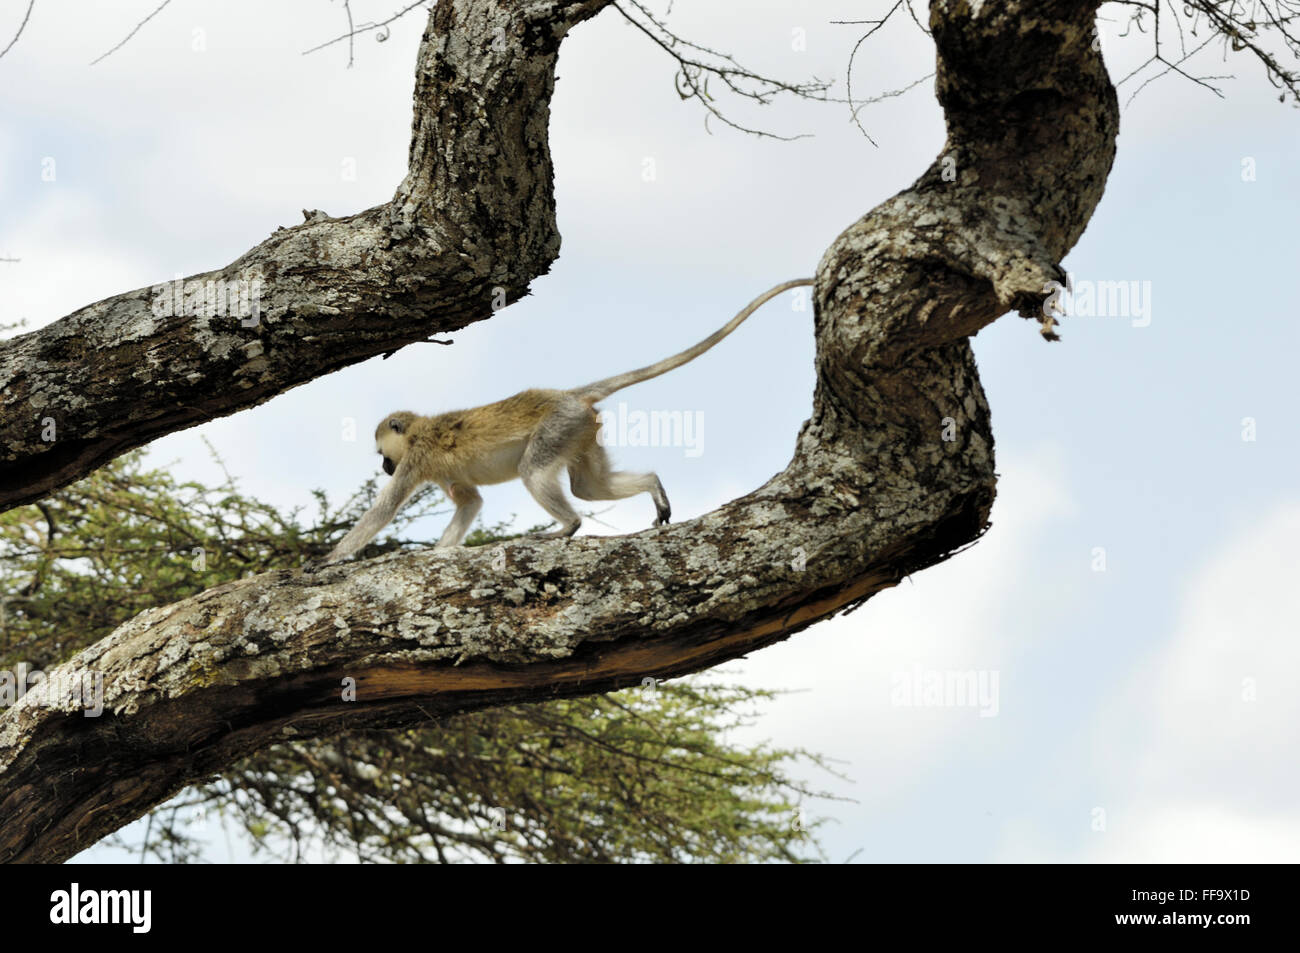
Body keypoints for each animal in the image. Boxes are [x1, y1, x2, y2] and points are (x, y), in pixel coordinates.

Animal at [309, 278, 806, 569]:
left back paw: (567, 527)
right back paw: (652, 485)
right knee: (589, 486)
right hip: (581, 433)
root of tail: (567, 396)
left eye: (382, 456)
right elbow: (470, 502)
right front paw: (441, 552)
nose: (383, 468)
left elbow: (383, 511)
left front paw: (328, 559)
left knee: (537, 474)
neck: (417, 431)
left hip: (557, 427)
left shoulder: (417, 460)